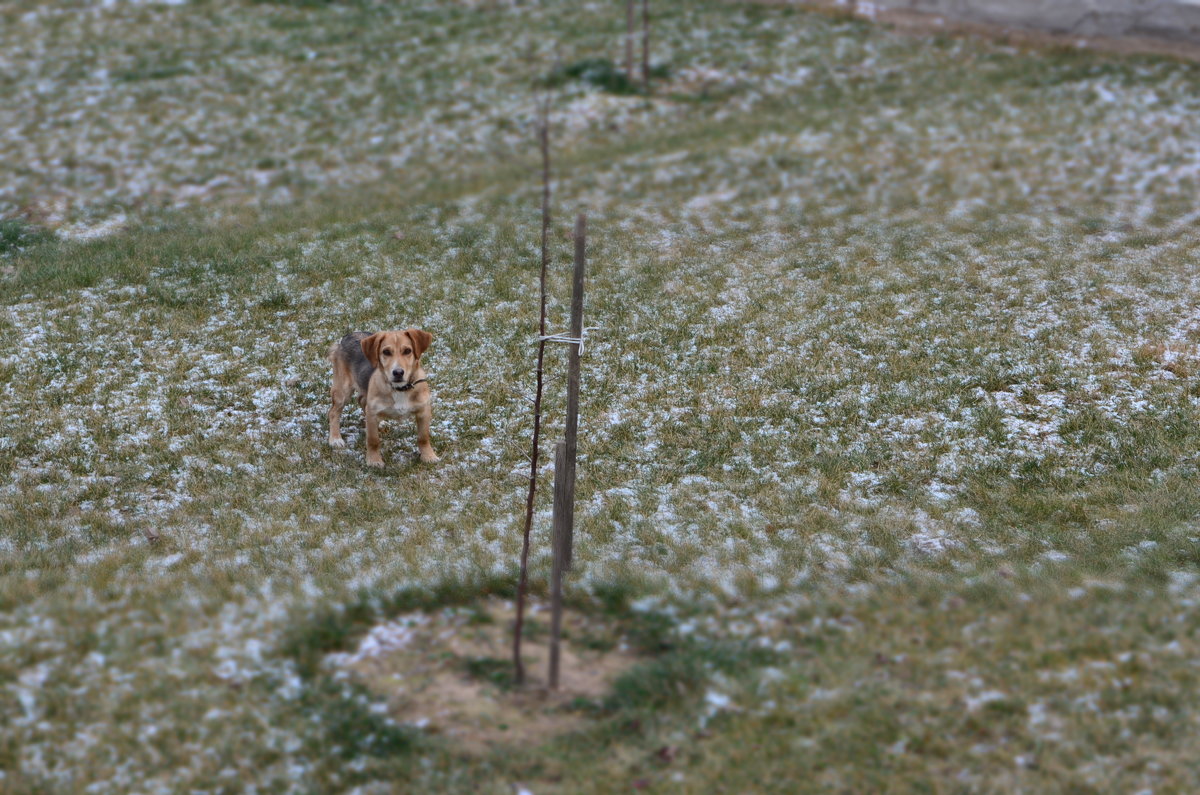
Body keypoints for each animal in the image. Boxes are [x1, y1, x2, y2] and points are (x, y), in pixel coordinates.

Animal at [326, 329, 439, 468]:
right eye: (386, 352)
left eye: (408, 351)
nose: (398, 373)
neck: (400, 389)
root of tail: (348, 336)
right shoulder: (372, 413)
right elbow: (373, 440)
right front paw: (374, 461)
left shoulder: (424, 411)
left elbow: (423, 438)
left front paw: (429, 456)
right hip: (343, 390)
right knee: (333, 412)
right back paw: (335, 439)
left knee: (361, 401)